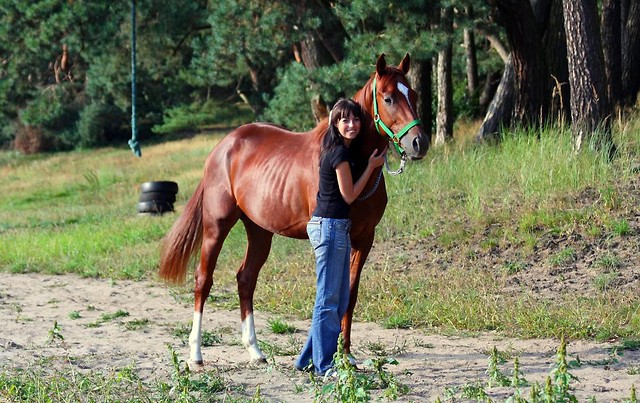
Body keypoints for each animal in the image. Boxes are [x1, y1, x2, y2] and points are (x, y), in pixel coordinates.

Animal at [159, 52, 430, 366]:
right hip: (216, 226)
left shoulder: (364, 238)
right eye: (388, 98)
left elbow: (349, 294)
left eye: (413, 94)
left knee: (246, 279)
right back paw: (196, 353)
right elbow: (329, 293)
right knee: (203, 280)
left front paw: (346, 354)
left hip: (259, 231)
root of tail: (222, 147)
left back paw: (255, 351)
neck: (352, 166)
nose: (419, 142)